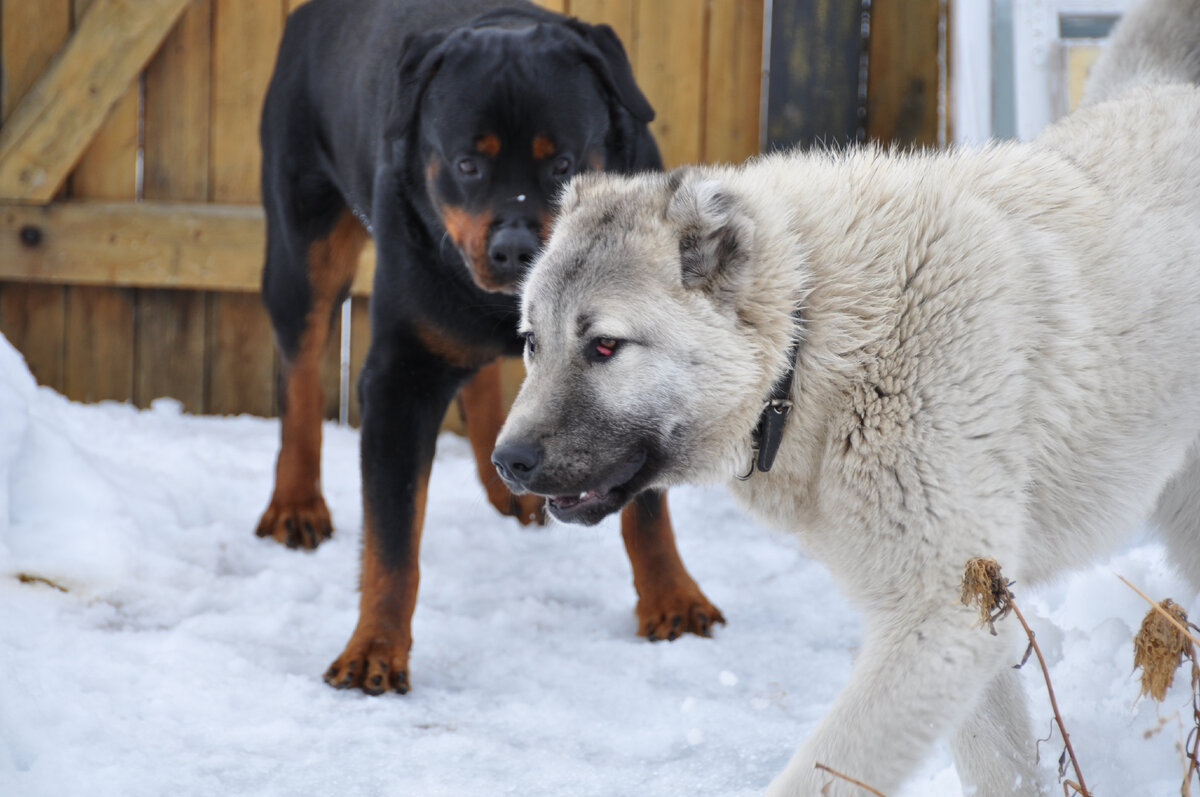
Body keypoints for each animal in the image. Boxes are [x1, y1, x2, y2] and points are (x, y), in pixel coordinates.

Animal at [255, 0, 720, 696]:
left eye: (563, 164)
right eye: (467, 164)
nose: (514, 247)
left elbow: (646, 509)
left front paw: (671, 600)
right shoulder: (399, 376)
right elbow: (392, 542)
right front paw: (374, 650)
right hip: (301, 241)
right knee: (301, 368)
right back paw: (297, 502)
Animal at [492, 3, 1200, 792]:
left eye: (605, 346)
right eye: (532, 341)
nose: (507, 461)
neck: (817, 338)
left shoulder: (936, 616)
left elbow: (824, 770)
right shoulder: (967, 616)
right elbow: (1004, 766)